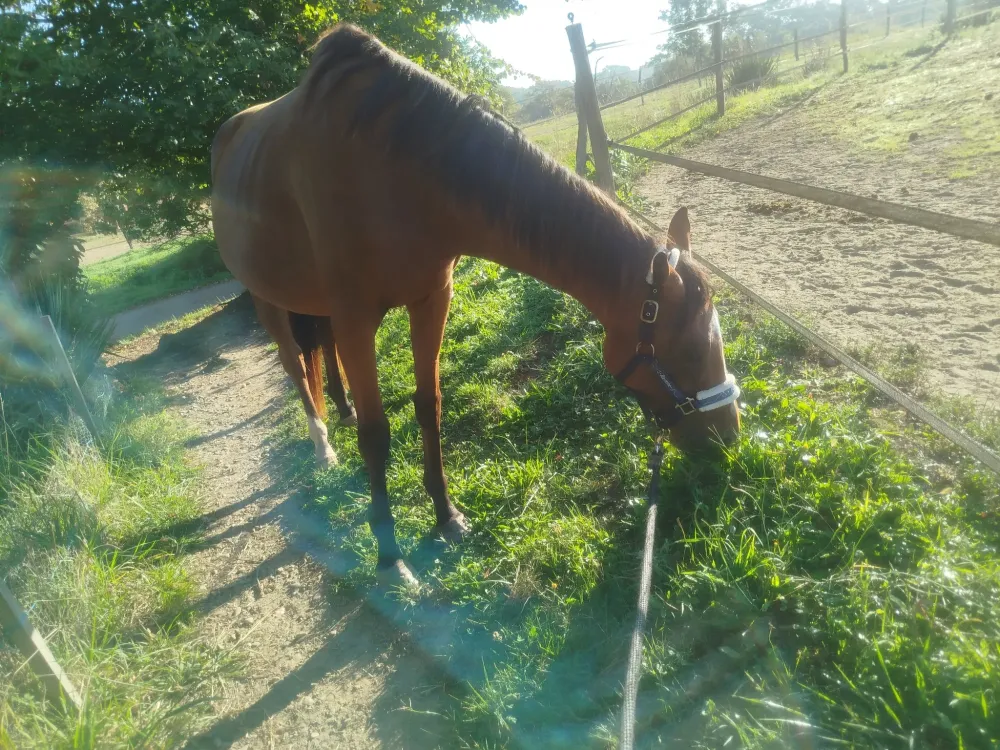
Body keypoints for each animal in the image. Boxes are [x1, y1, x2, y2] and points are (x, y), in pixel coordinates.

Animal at [210, 24, 741, 586]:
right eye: (690, 352)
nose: (729, 438)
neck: (396, 170)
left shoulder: (431, 300)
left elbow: (429, 406)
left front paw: (446, 517)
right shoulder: (357, 319)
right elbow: (377, 435)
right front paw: (390, 558)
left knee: (321, 353)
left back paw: (342, 408)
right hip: (268, 299)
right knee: (295, 366)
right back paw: (323, 443)